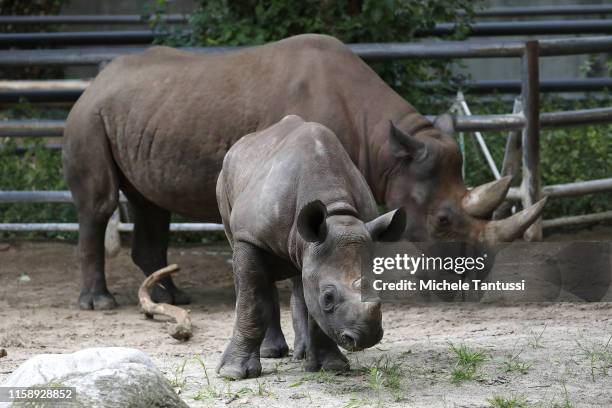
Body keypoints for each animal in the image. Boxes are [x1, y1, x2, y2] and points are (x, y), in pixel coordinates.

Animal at [63, 34, 544, 318]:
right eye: (443, 220)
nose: (470, 289)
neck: (386, 148)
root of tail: (95, 82)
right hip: (89, 116)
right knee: (101, 204)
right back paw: (100, 303)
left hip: (141, 112)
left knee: (150, 204)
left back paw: (173, 299)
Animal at [215, 115, 406, 380]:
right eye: (328, 297)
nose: (366, 338)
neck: (337, 212)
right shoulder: (250, 236)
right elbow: (252, 302)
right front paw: (233, 373)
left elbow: (313, 304)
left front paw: (331, 366)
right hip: (225, 186)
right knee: (250, 277)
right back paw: (271, 353)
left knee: (300, 275)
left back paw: (302, 355)